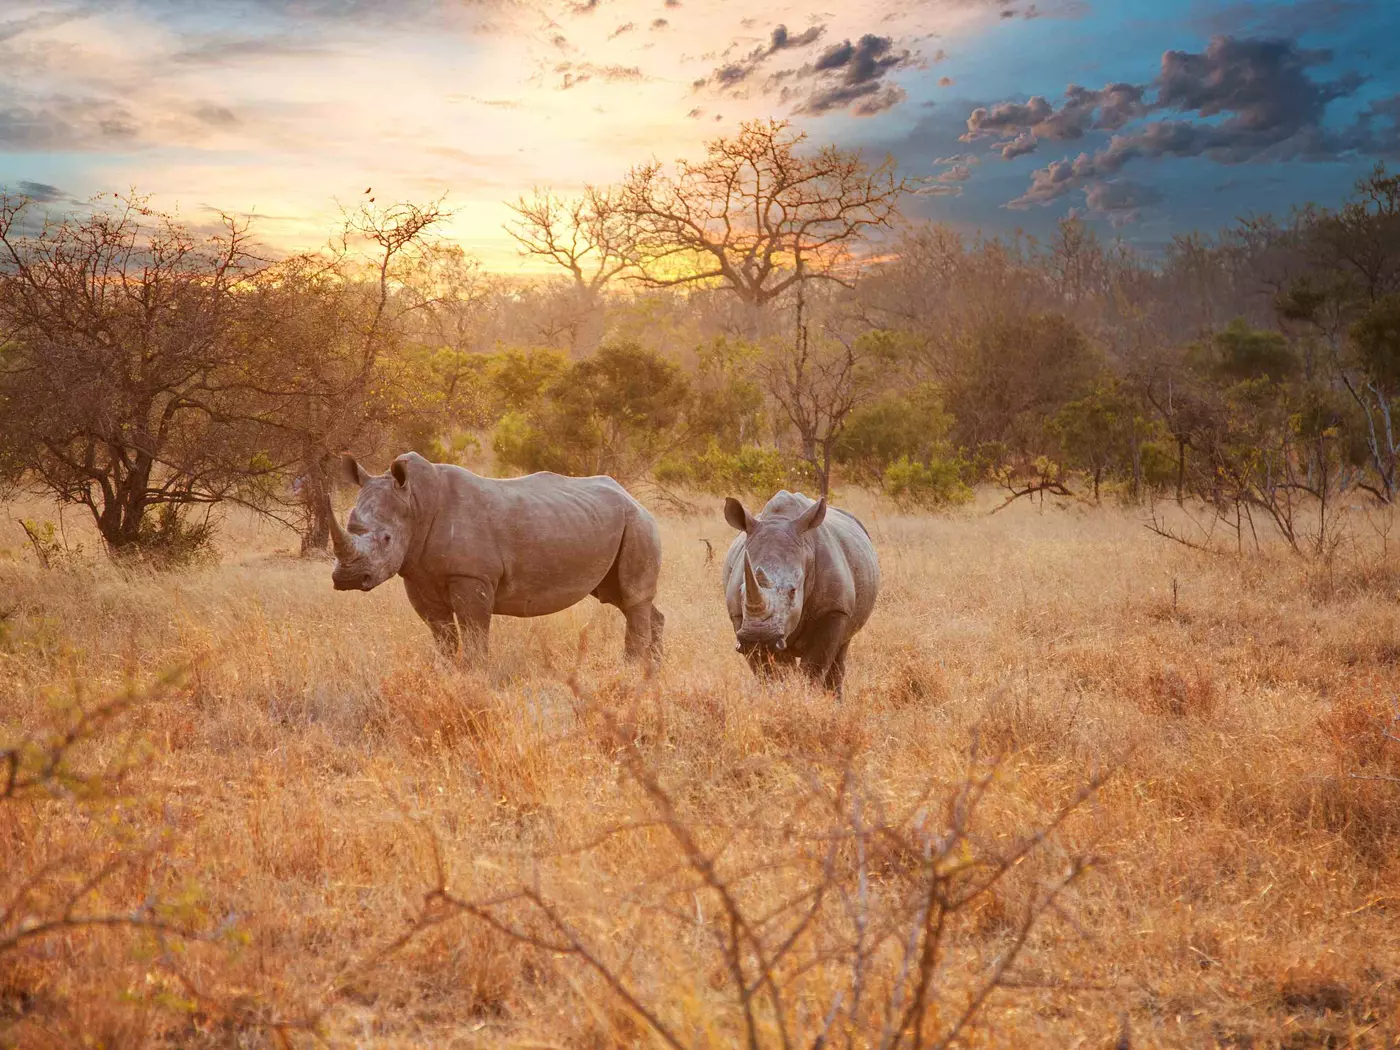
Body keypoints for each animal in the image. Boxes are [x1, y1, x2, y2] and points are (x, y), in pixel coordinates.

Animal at [326, 452, 664, 665]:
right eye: (351, 526)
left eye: (386, 539)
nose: (347, 578)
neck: (415, 503)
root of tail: (634, 498)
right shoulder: (417, 574)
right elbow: (443, 636)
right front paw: (447, 675)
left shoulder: (472, 576)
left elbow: (475, 634)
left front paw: (475, 678)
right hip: (606, 522)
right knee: (619, 596)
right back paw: (653, 670)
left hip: (637, 522)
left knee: (632, 597)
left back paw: (630, 670)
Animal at [721, 490, 879, 695]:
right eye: (741, 590)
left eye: (793, 591)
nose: (759, 636)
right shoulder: (739, 616)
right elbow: (772, 673)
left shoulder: (834, 609)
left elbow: (813, 669)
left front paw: (807, 697)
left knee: (841, 651)